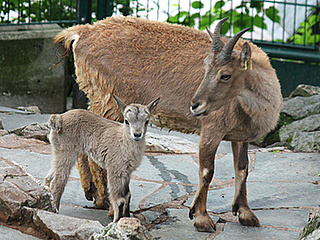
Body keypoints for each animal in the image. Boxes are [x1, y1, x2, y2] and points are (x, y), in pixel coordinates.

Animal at [54, 15, 282, 232]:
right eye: (206, 68)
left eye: (225, 75)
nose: (195, 105)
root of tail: (82, 33)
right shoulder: (212, 128)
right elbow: (207, 170)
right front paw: (201, 217)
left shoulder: (240, 136)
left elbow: (242, 168)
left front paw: (246, 213)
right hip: (109, 102)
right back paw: (109, 204)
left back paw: (95, 196)